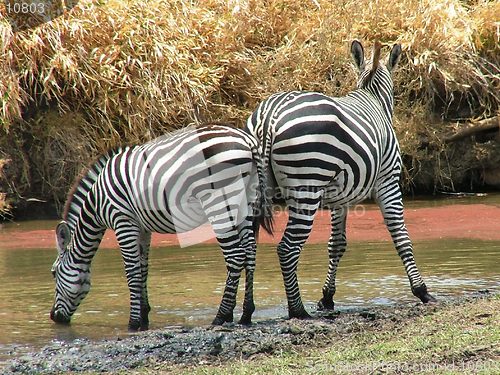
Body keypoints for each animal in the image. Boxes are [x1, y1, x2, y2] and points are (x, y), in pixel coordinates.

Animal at [49, 124, 274, 332]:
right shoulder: (142, 228)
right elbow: (143, 269)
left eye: (53, 273)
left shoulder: (122, 221)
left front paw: (133, 323)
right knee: (250, 253)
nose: (53, 317)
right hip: (245, 203)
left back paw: (221, 316)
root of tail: (247, 140)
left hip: (218, 202)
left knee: (236, 256)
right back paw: (245, 314)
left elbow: (132, 272)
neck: (96, 202)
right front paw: (144, 316)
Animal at [244, 40, 436, 320]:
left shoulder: (340, 199)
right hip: (307, 186)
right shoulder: (388, 181)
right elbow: (400, 235)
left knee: (248, 248)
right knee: (287, 248)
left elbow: (337, 244)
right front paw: (421, 291)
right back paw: (297, 310)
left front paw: (327, 297)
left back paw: (245, 313)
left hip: (251, 190)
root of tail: (270, 116)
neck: (372, 97)